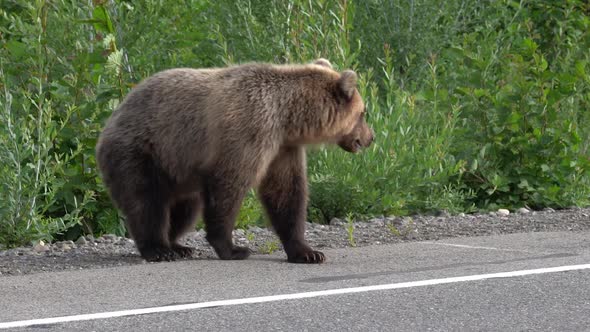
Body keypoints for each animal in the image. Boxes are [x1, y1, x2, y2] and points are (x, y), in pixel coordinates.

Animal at [96, 57, 374, 264]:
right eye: (363, 112)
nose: (370, 138)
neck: (287, 117)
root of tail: (112, 118)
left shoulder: (283, 148)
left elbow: (286, 193)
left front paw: (308, 252)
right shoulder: (248, 131)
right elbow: (229, 185)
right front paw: (233, 248)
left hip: (178, 171)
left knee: (185, 208)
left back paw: (178, 246)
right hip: (142, 152)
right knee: (146, 202)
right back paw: (158, 249)